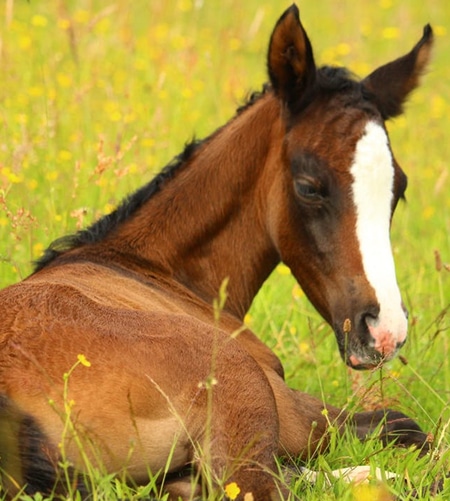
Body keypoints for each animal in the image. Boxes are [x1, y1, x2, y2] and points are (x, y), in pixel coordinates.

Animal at [0, 3, 432, 500]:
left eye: (399, 189)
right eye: (308, 187)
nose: (385, 332)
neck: (153, 269)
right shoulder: (296, 414)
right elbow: (403, 426)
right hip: (239, 384)